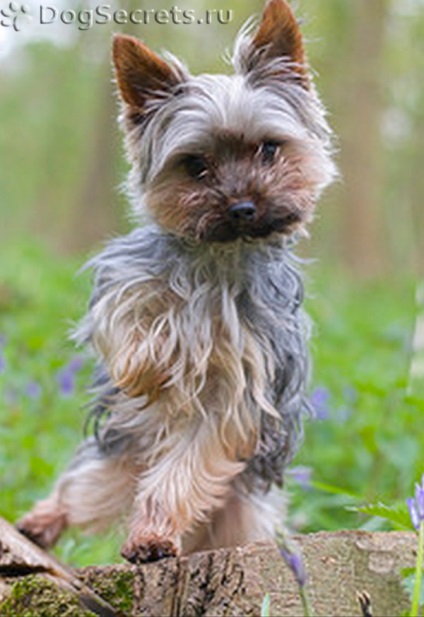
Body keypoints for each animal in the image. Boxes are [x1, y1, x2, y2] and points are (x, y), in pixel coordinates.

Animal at [18, 0, 336, 560]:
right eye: (196, 166)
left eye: (269, 150)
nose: (243, 206)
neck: (218, 259)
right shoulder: (121, 288)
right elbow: (133, 336)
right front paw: (156, 366)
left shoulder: (235, 398)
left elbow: (183, 472)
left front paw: (152, 535)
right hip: (113, 458)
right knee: (80, 491)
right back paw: (40, 524)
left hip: (245, 514)